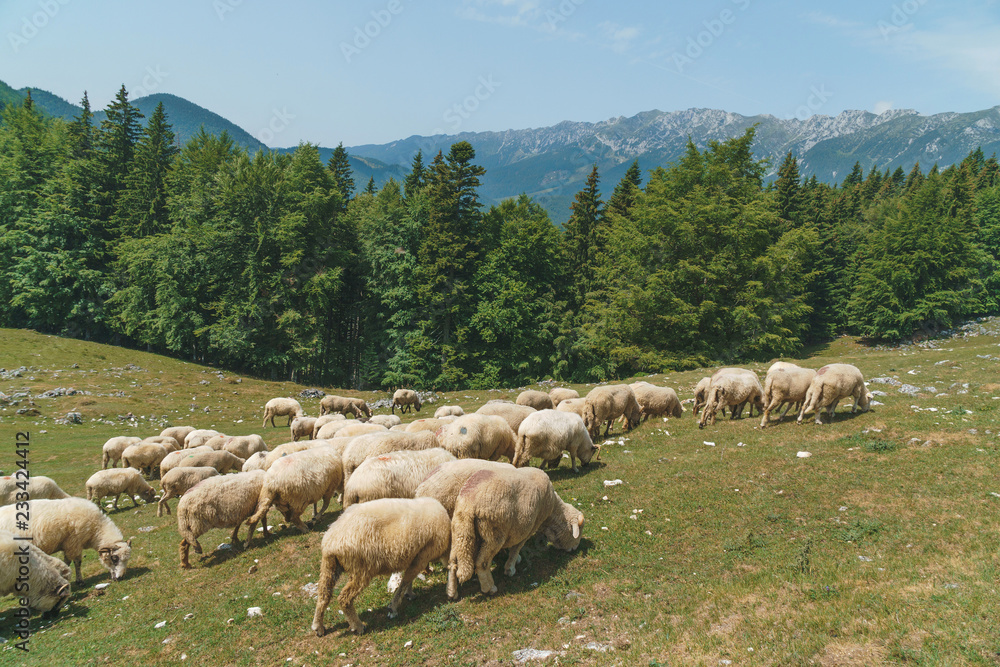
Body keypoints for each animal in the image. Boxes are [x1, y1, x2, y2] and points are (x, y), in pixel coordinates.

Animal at [0, 498, 132, 582]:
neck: (96, 529)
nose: (121, 577)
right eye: (114, 558)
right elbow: (77, 562)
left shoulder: (69, 545)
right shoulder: (74, 543)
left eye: (127, 559)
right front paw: (79, 580)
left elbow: (68, 561)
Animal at [311, 497, 451, 636]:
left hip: (329, 565)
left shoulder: (414, 555)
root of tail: (331, 540)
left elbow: (409, 579)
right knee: (344, 598)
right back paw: (358, 626)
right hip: (361, 569)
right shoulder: (423, 556)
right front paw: (393, 607)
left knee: (323, 593)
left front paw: (409, 594)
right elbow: (406, 580)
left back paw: (318, 626)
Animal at [447, 467, 584, 600]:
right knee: (482, 564)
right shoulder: (528, 528)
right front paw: (510, 568)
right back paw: (489, 588)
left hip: (459, 532)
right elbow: (516, 548)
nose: (575, 549)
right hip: (493, 534)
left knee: (452, 562)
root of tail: (468, 505)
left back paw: (452, 592)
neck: (551, 515)